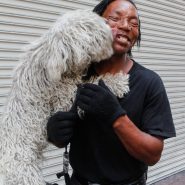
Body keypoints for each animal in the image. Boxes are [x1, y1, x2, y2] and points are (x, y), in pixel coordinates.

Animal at [0, 9, 129, 184]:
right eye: (92, 30)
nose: (113, 31)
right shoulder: (63, 96)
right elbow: (87, 87)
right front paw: (118, 82)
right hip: (24, 175)